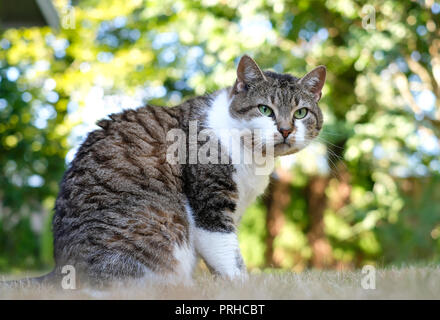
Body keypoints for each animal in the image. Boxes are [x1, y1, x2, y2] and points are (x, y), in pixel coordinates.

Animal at [37, 55, 324, 288]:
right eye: (265, 109)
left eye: (301, 113)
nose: (286, 129)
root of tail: (60, 269)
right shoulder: (209, 204)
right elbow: (228, 254)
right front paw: (242, 285)